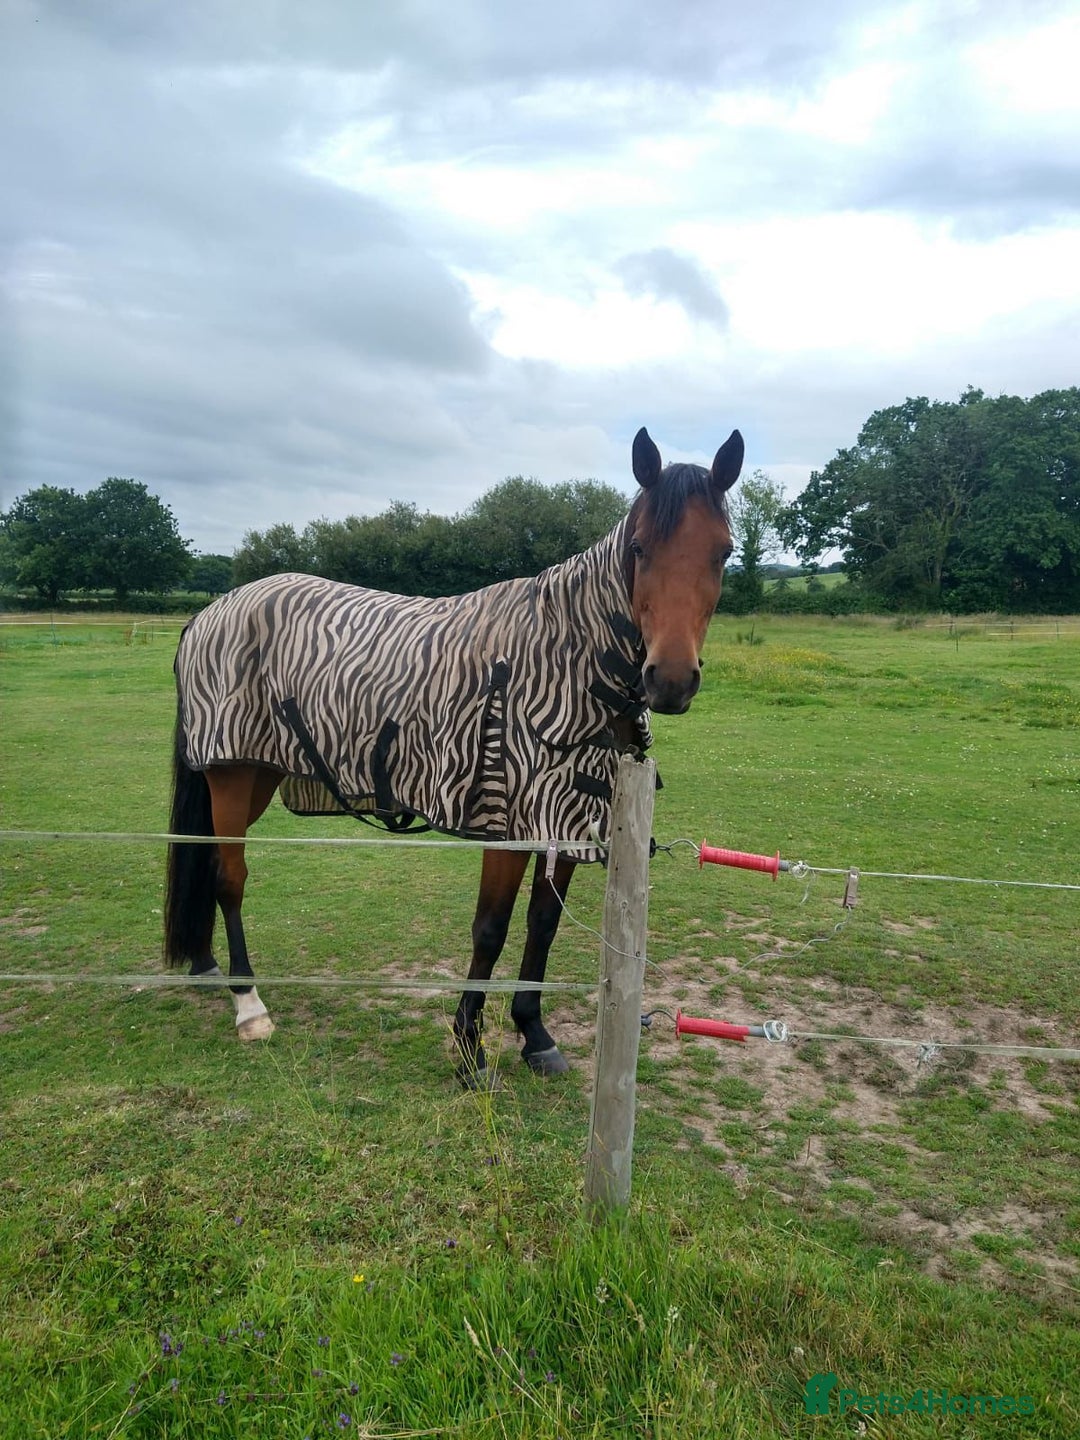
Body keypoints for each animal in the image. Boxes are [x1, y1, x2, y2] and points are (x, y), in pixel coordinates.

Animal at [163, 425, 742, 1084]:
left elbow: (543, 923)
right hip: (233, 773)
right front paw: (470, 1048)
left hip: (257, 773)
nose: (669, 680)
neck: (564, 660)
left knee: (205, 860)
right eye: (640, 548)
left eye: (723, 553)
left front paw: (533, 1033)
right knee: (228, 876)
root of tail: (211, 610)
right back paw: (248, 1002)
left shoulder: (568, 814)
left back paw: (208, 966)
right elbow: (490, 929)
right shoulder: (508, 818)